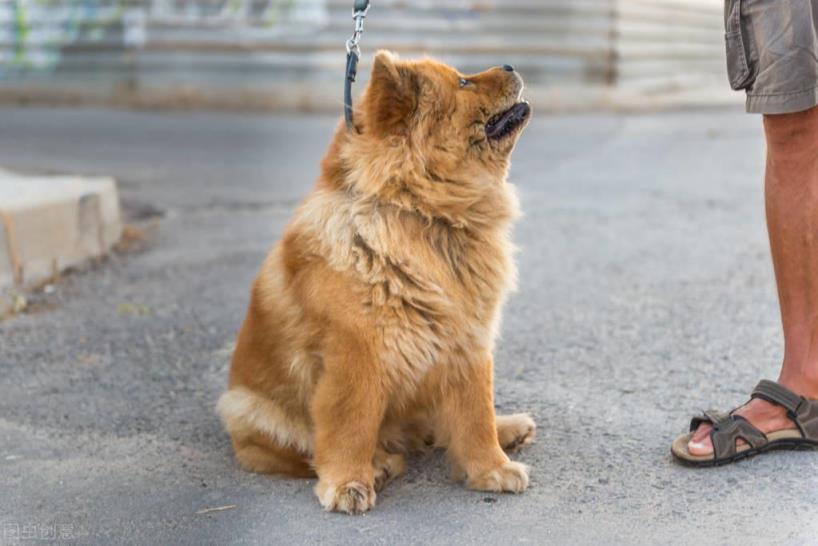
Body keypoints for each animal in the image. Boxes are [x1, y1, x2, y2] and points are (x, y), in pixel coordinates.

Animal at [217, 49, 536, 512]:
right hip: (246, 406)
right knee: (299, 449)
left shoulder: (469, 342)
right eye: (463, 83)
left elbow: (476, 414)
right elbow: (350, 425)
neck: (427, 217)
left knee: (437, 429)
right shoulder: (358, 354)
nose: (511, 65)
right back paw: (381, 465)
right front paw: (348, 484)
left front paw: (492, 469)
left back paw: (509, 428)